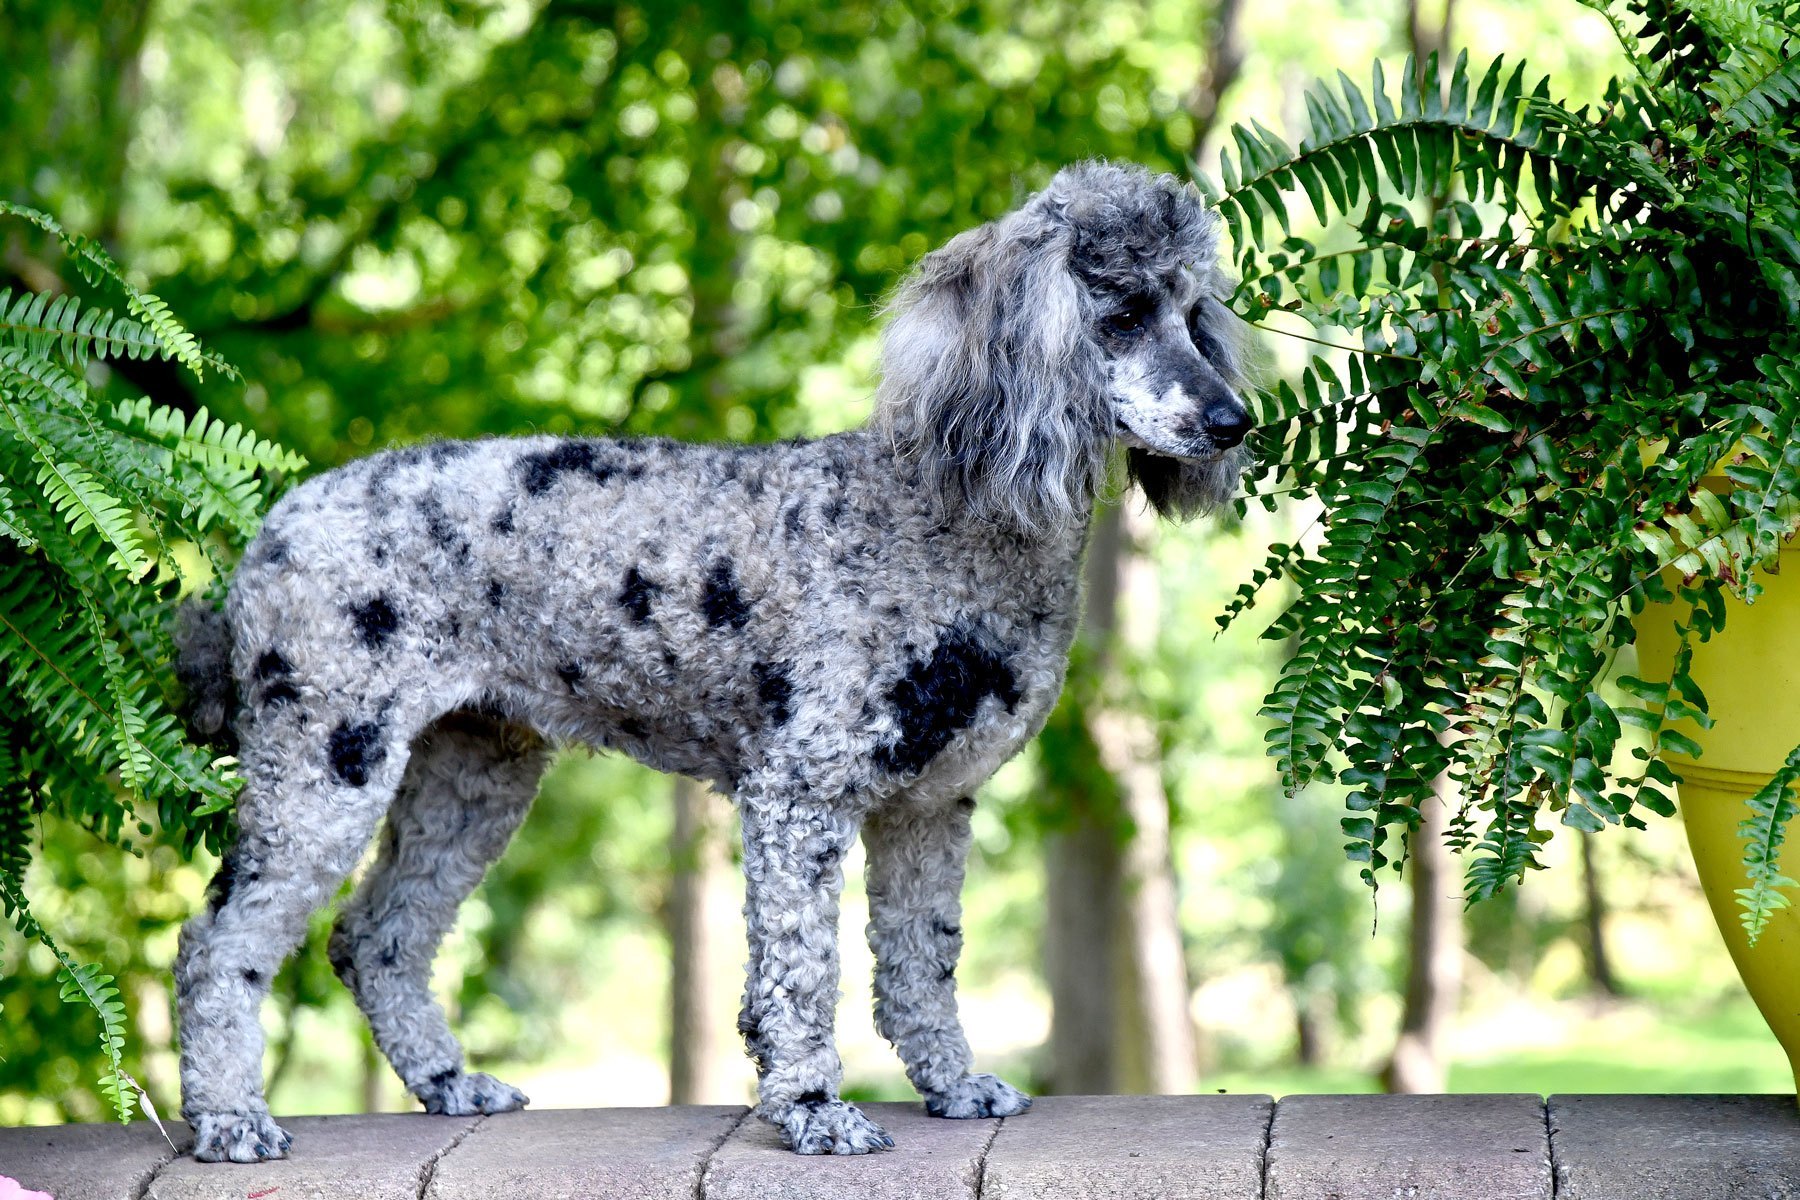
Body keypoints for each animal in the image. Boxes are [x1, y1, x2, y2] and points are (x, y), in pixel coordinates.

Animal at [171, 161, 1252, 1165]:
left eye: (1194, 311)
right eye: (1120, 312)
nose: (1234, 420)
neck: (941, 511)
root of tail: (270, 530)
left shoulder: (929, 808)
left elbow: (921, 964)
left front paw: (952, 1084)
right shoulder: (800, 798)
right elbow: (800, 976)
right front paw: (813, 1111)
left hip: (471, 776)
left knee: (377, 941)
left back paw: (448, 1083)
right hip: (324, 764)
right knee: (217, 947)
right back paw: (228, 1120)